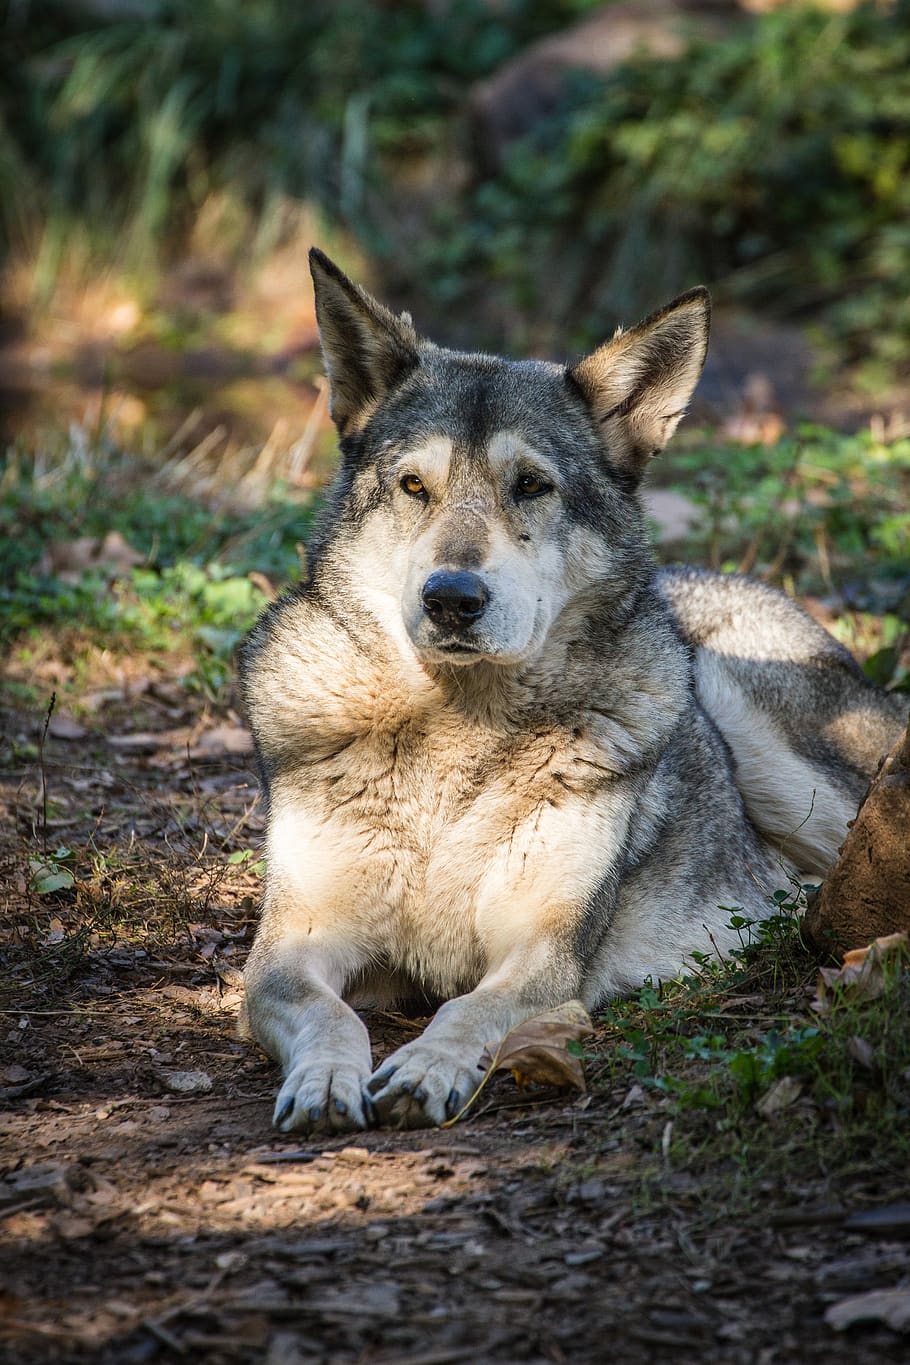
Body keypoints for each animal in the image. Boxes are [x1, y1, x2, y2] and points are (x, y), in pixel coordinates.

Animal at [238, 249, 907, 1132]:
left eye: (530, 485)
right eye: (414, 486)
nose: (452, 598)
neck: (456, 727)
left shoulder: (545, 950)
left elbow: (469, 1009)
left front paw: (425, 1067)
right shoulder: (290, 946)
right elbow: (327, 1011)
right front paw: (323, 1080)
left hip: (758, 725)